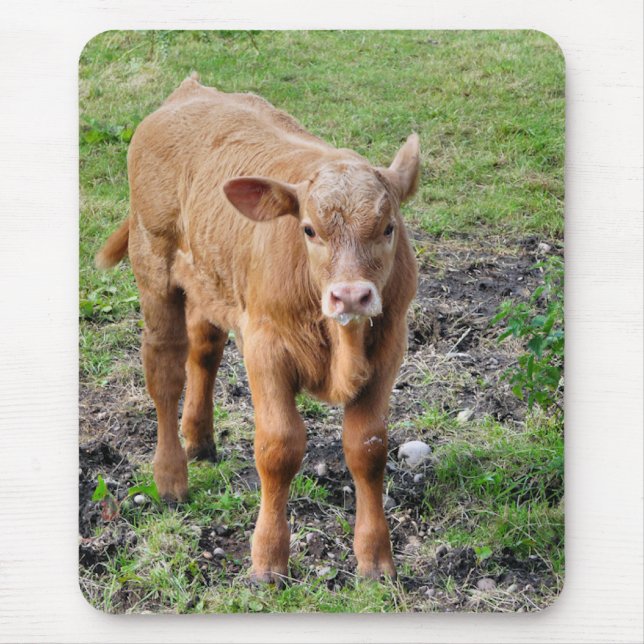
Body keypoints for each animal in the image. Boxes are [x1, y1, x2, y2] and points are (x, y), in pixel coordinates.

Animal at [95, 73, 419, 583]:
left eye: (388, 228)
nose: (350, 296)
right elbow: (279, 446)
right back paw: (170, 479)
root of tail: (189, 91)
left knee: (203, 350)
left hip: (211, 283)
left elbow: (368, 447)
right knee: (164, 370)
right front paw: (267, 561)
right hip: (153, 266)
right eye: (309, 230)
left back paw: (200, 440)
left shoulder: (388, 346)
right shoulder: (266, 347)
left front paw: (376, 560)